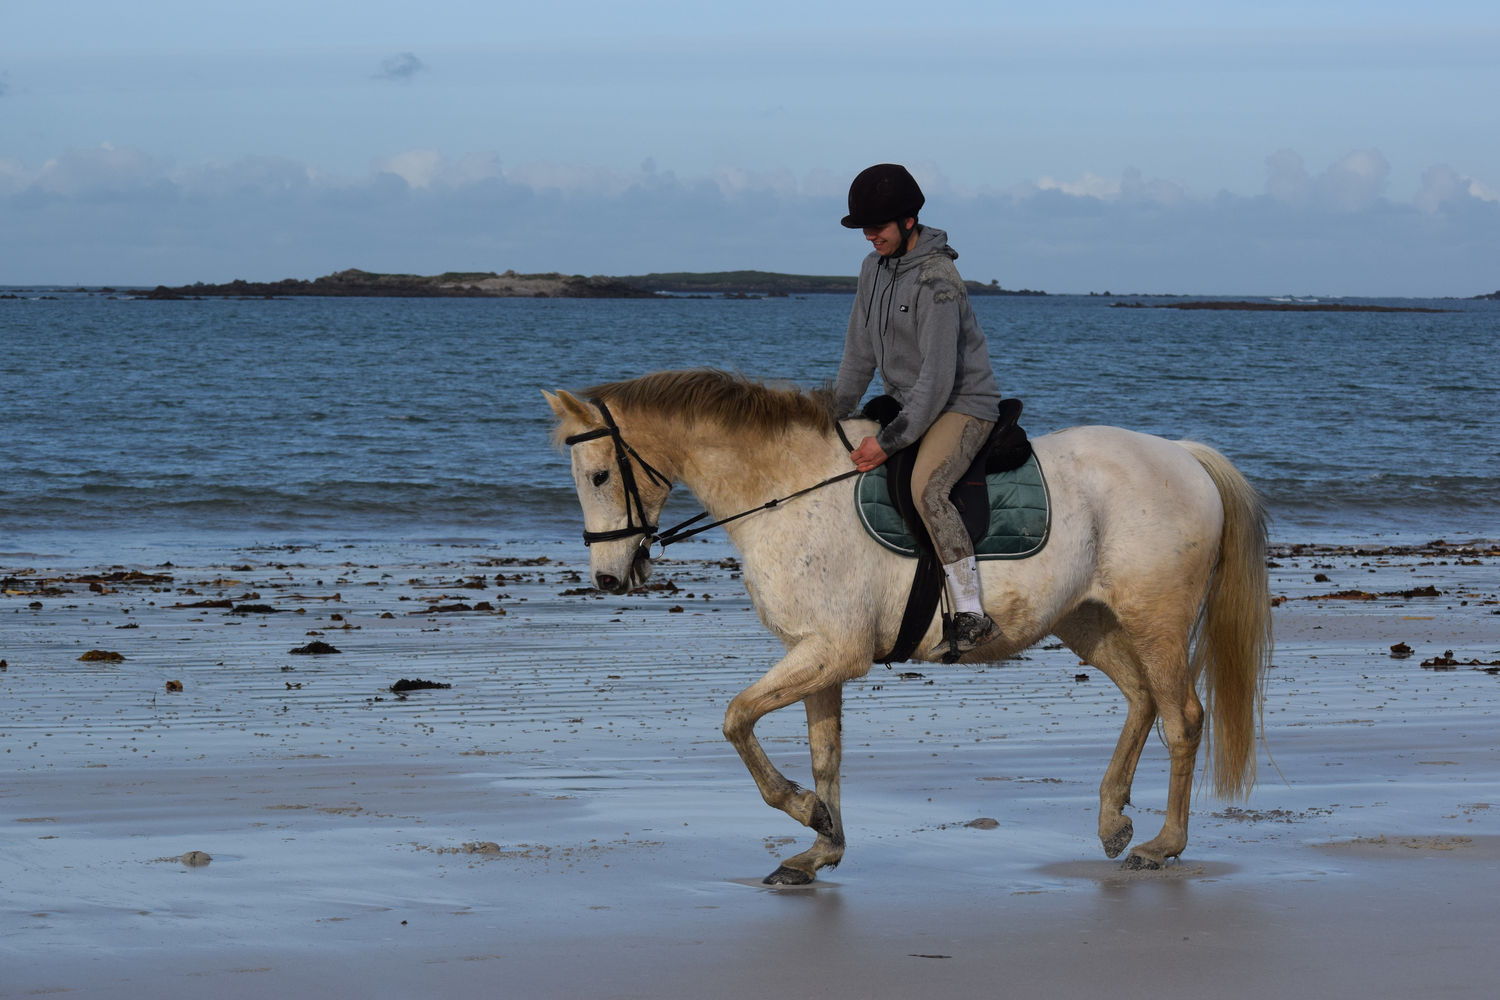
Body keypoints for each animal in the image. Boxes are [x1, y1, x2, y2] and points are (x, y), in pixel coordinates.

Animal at [546, 371, 1272, 887]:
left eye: (600, 474)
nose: (607, 577)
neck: (790, 491)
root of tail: (1182, 457)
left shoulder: (834, 652)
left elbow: (736, 718)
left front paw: (805, 811)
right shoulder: (816, 654)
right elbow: (824, 753)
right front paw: (820, 848)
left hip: (1156, 620)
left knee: (1182, 716)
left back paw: (1161, 845)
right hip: (1087, 621)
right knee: (1143, 699)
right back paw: (1114, 821)